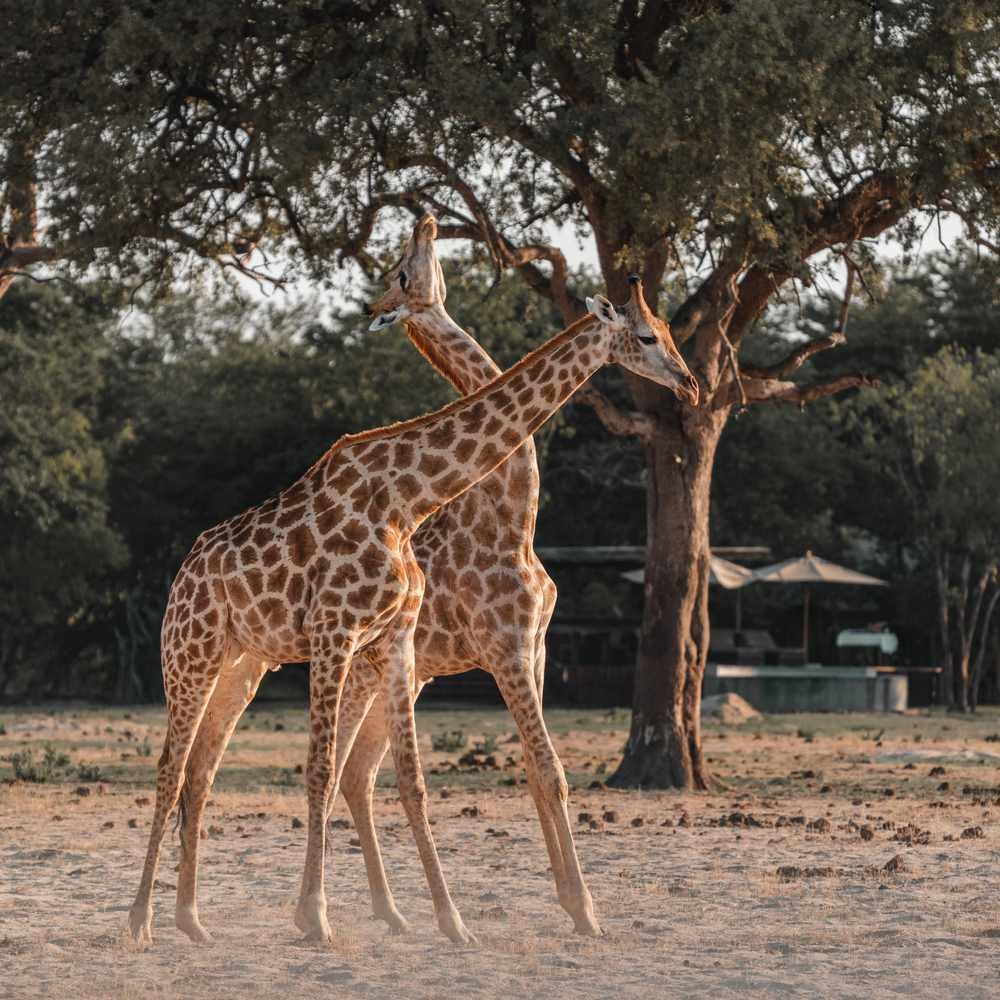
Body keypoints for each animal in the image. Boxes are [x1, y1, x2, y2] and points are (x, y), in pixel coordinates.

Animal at [127, 280, 699, 951]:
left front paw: (453, 922)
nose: (689, 383)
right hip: (189, 656)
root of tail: (183, 574)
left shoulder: (398, 640)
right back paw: (140, 921)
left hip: (243, 664)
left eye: (667, 331)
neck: (407, 500)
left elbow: (414, 779)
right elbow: (320, 769)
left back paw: (193, 921)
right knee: (170, 769)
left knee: (203, 772)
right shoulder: (339, 632)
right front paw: (315, 917)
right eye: (647, 336)